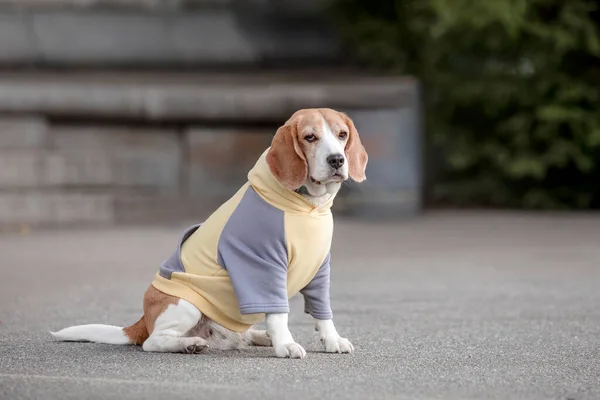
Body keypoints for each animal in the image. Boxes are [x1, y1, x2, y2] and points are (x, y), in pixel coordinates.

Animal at [51, 107, 368, 360]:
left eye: (342, 135)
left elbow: (322, 313)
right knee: (154, 341)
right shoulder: (262, 266)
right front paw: (286, 345)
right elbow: (279, 315)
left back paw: (258, 336)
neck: (307, 206)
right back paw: (189, 343)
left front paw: (332, 339)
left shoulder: (319, 270)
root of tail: (142, 320)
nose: (337, 160)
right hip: (187, 304)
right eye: (310, 137)